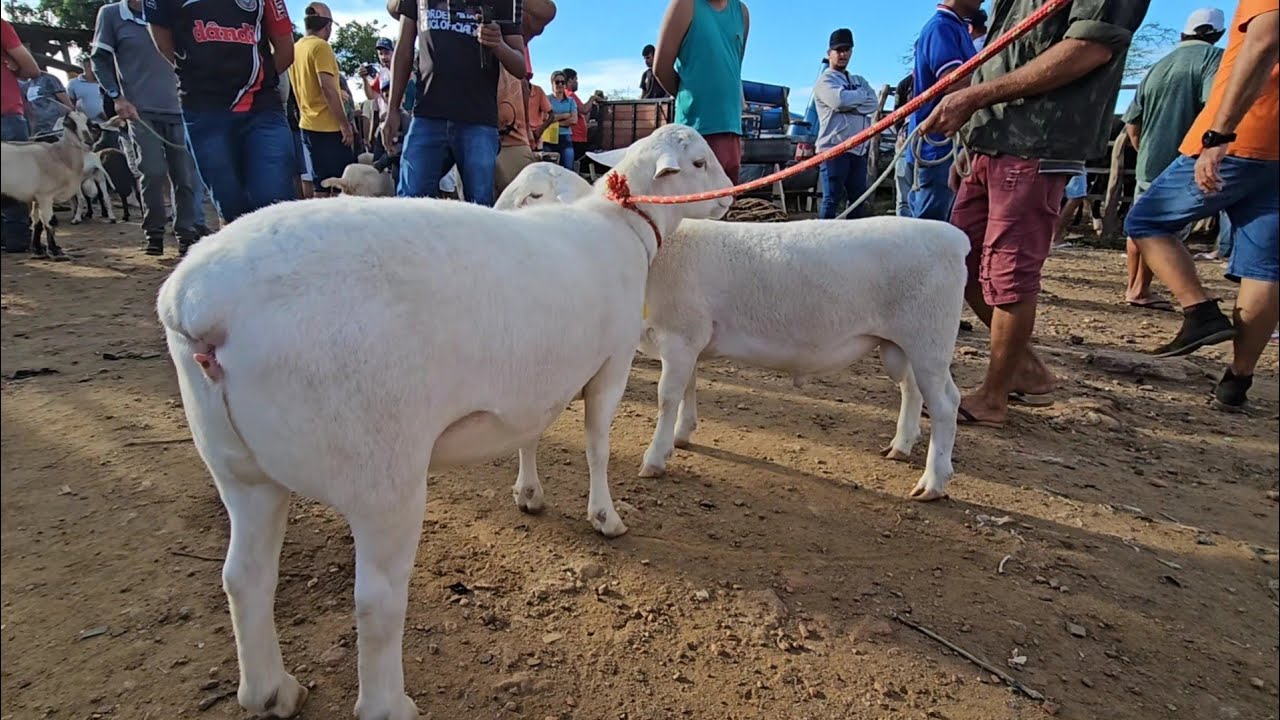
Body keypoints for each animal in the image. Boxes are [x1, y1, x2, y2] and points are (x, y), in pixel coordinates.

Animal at [155, 124, 732, 720]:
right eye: (698, 162)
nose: (729, 197)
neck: (622, 228)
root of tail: (200, 307)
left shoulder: (533, 380)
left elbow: (530, 433)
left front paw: (529, 494)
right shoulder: (612, 363)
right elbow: (597, 443)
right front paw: (606, 516)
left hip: (238, 468)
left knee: (244, 577)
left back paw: (271, 690)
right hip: (380, 472)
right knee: (376, 599)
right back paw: (389, 705)